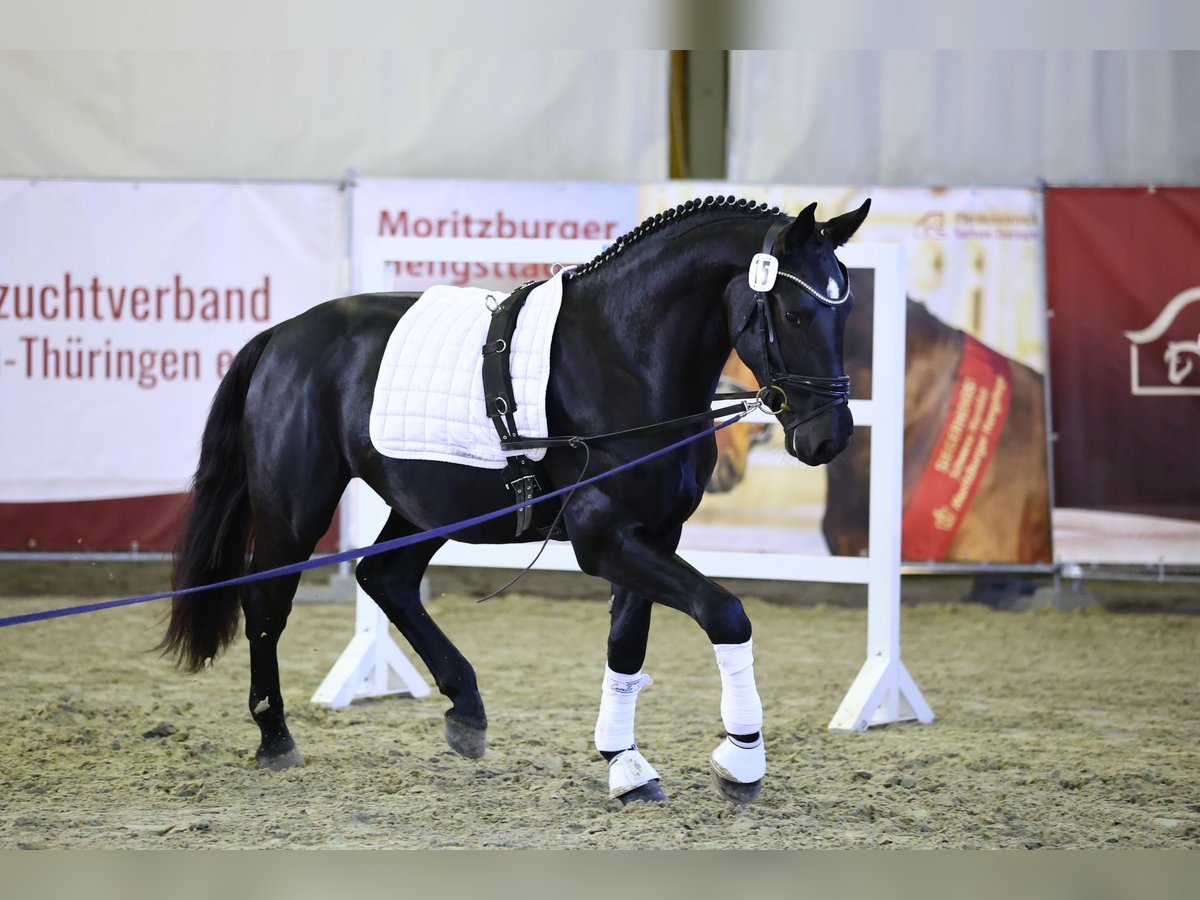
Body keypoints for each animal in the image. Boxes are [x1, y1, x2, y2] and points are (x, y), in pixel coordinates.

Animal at [162, 194, 873, 806]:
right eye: (795, 313)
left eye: (845, 311)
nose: (829, 438)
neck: (625, 357)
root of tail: (283, 334)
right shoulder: (604, 540)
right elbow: (726, 613)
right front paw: (741, 761)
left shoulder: (649, 536)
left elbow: (627, 646)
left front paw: (626, 766)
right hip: (295, 509)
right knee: (266, 600)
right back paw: (276, 737)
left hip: (428, 508)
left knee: (384, 577)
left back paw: (467, 710)